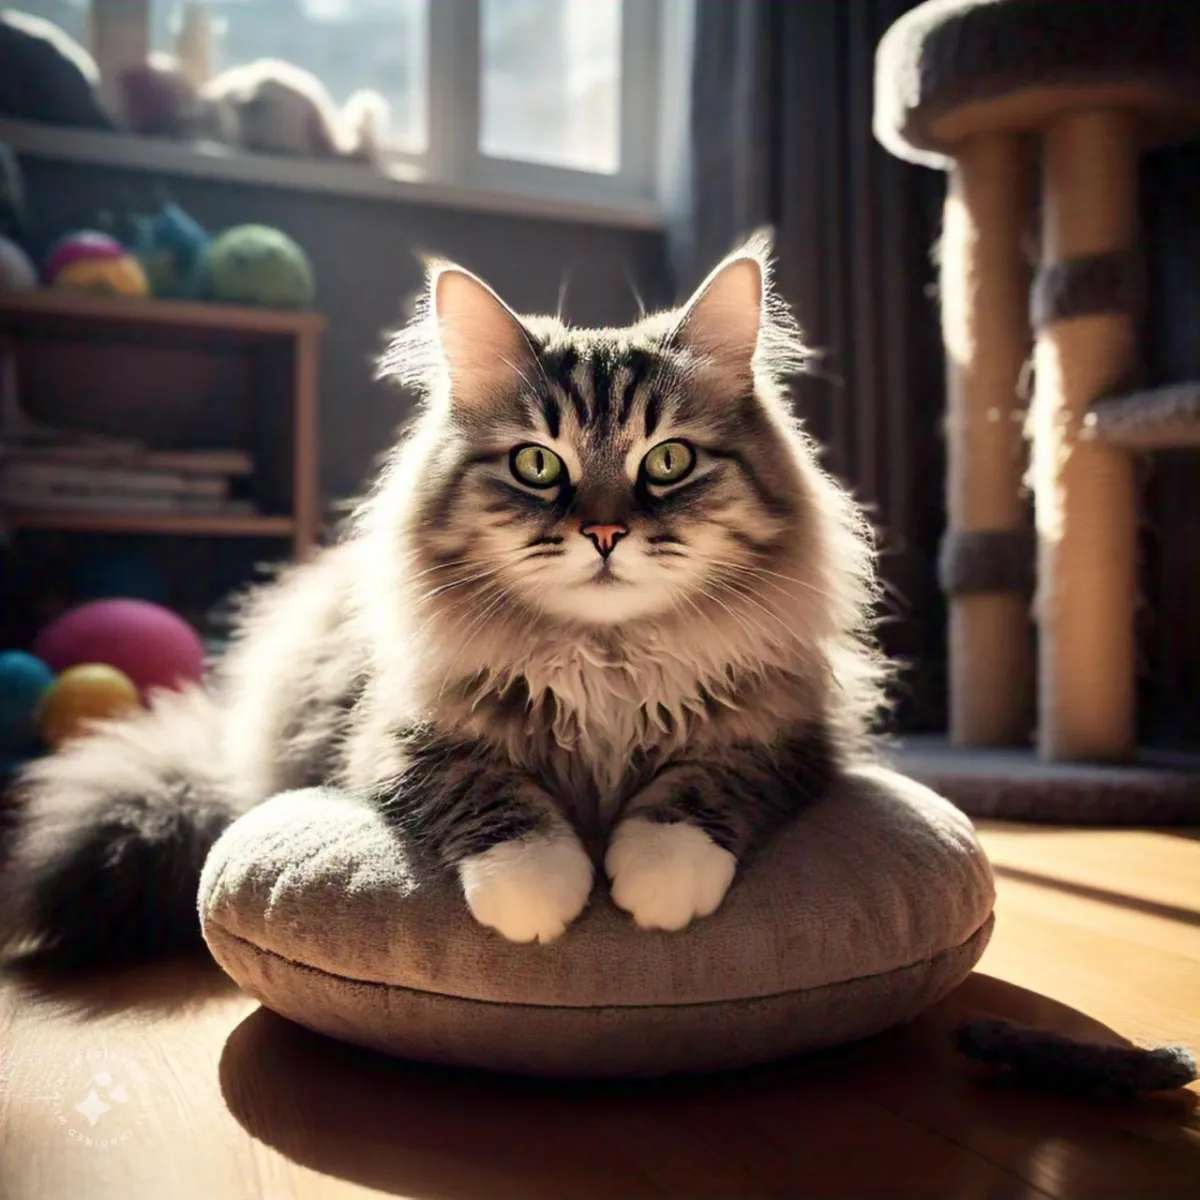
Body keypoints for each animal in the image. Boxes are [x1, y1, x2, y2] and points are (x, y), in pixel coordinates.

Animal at [0, 234, 888, 964]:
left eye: (668, 462)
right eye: (537, 465)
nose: (604, 534)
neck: (606, 664)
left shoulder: (788, 733)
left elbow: (703, 784)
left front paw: (659, 879)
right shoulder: (393, 732)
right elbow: (486, 790)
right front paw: (536, 893)